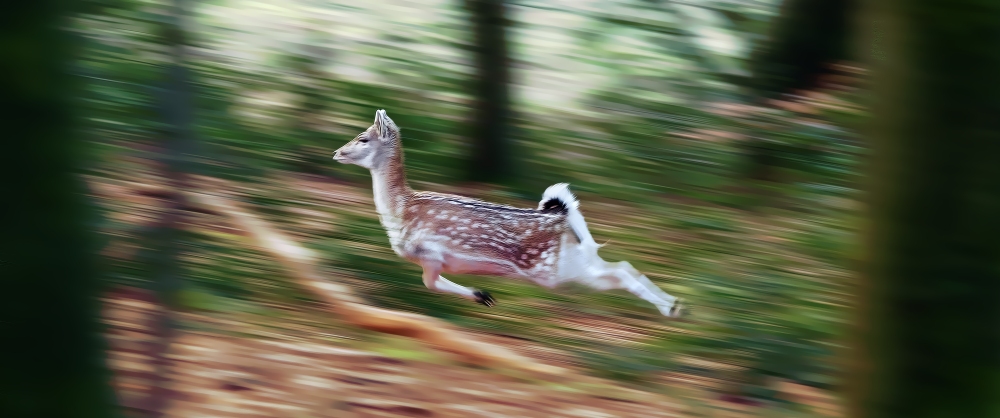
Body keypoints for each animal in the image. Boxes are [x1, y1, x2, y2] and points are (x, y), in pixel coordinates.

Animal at [332, 108, 684, 316]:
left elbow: (429, 284)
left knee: (618, 272)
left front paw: (484, 295)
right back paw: (675, 305)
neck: (400, 211)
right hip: (577, 259)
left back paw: (672, 307)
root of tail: (563, 217)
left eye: (363, 138)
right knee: (622, 266)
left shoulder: (429, 254)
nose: (337, 152)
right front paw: (483, 295)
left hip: (555, 271)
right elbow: (433, 284)